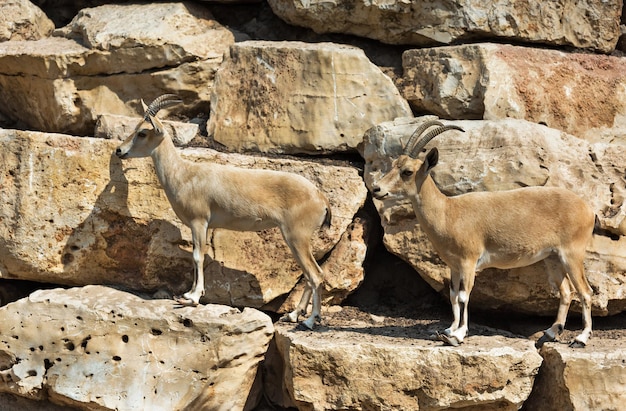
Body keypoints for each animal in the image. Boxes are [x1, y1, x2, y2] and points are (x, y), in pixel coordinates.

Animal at [116, 95, 332, 330]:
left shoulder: (199, 222)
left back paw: (310, 320)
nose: (119, 151)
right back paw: (293, 315)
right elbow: (195, 256)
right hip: (295, 240)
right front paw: (188, 293)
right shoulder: (197, 226)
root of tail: (321, 198)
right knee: (309, 275)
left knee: (316, 275)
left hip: (296, 237)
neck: (185, 174)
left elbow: (198, 256)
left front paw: (192, 298)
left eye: (142, 132)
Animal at [370, 120, 596, 350]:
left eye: (407, 171)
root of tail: (587, 209)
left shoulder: (469, 262)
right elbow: (453, 295)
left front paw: (458, 335)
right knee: (566, 292)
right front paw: (448, 330)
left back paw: (580, 339)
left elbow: (463, 296)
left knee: (585, 292)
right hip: (553, 258)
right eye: (393, 165)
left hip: (572, 255)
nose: (376, 188)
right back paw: (549, 334)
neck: (448, 212)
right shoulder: (454, 266)